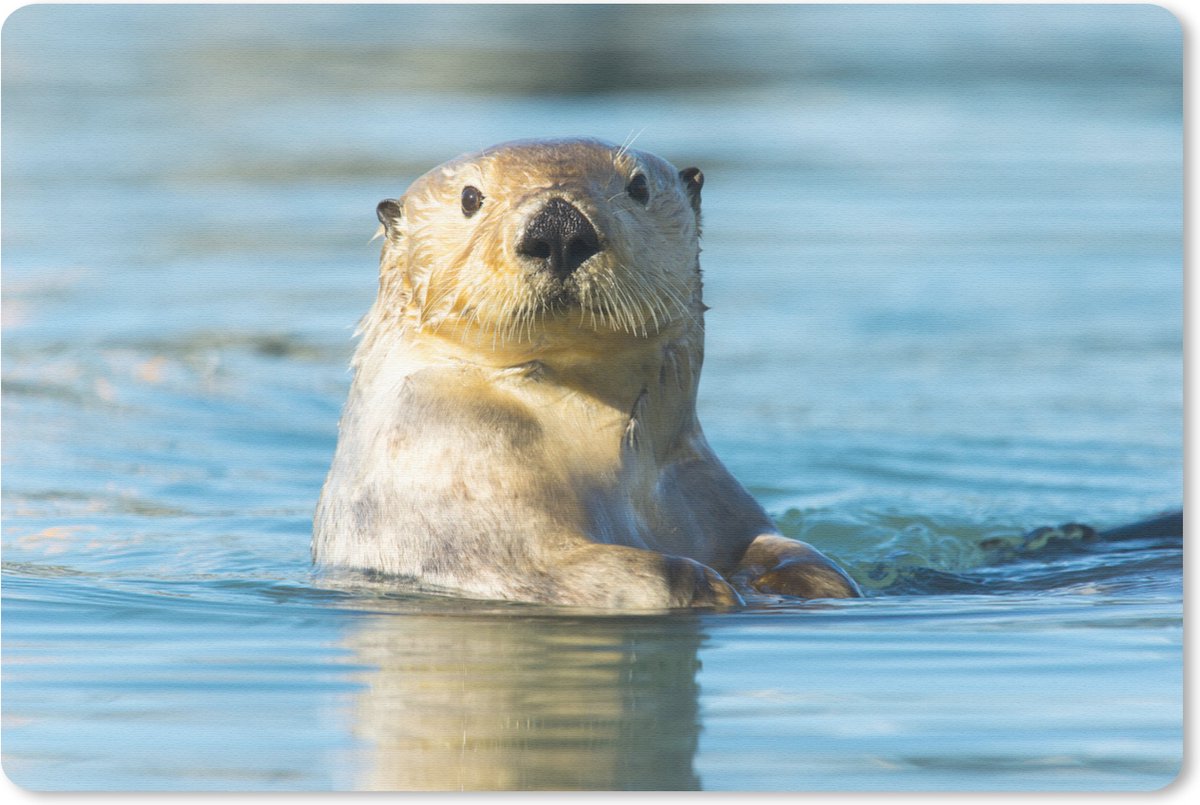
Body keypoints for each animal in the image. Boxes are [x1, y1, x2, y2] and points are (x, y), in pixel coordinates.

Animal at [313, 137, 861, 608]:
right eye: (470, 197)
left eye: (638, 186)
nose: (558, 227)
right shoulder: (456, 468)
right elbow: (547, 562)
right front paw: (705, 584)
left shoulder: (702, 484)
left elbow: (773, 544)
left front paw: (806, 578)